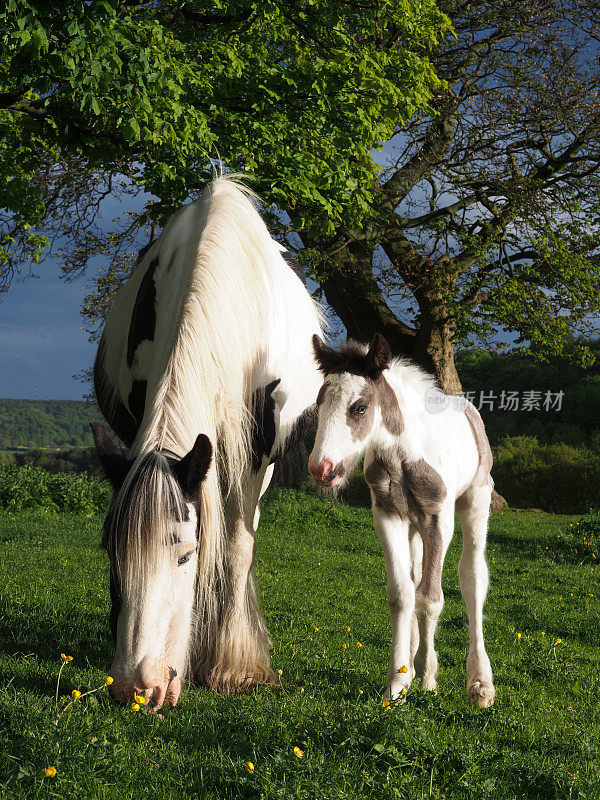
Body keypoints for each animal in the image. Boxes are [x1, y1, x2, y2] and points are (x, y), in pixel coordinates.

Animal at [91, 175, 324, 708]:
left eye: (185, 554)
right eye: (111, 549)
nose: (139, 687)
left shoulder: (256, 457)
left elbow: (236, 549)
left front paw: (233, 667)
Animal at [308, 332, 494, 708]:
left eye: (360, 407)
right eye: (319, 403)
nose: (322, 469)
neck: (402, 454)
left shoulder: (439, 518)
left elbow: (431, 598)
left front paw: (428, 677)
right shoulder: (388, 515)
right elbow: (401, 595)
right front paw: (399, 681)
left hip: (475, 500)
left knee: (472, 576)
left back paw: (480, 683)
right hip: (413, 525)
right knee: (416, 574)